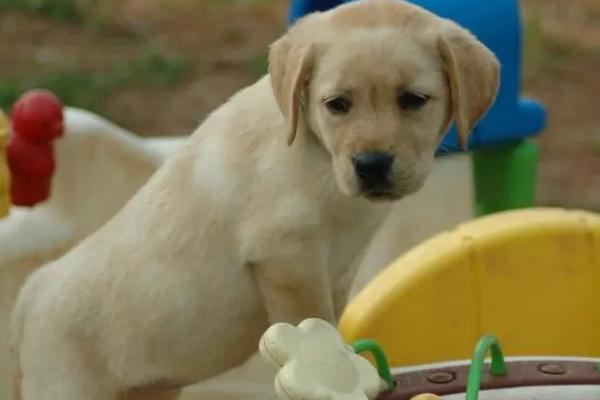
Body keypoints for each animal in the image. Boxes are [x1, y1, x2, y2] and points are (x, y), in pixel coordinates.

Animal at [9, 1, 500, 398]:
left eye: (413, 100)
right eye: (337, 104)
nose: (372, 164)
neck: (318, 152)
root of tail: (31, 291)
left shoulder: (339, 270)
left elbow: (337, 321)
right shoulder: (287, 259)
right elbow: (317, 325)